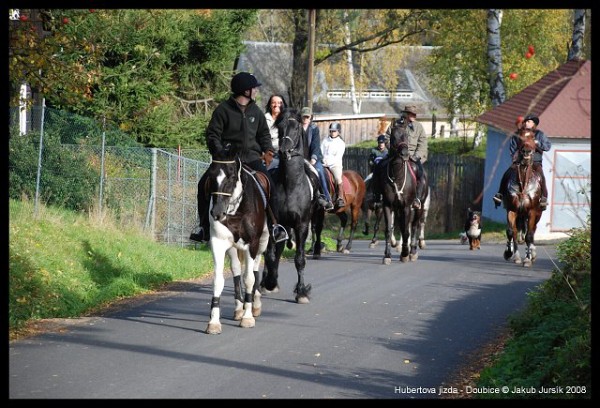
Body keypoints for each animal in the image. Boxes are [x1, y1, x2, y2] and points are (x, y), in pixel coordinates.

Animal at [205, 150, 270, 334]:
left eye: (232, 176)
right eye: (211, 176)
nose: (217, 213)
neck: (236, 210)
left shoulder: (252, 244)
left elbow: (249, 279)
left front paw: (247, 317)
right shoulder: (218, 243)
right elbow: (218, 280)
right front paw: (214, 322)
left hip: (261, 244)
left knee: (255, 269)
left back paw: (254, 305)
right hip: (233, 248)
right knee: (236, 270)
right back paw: (238, 308)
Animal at [258, 108, 324, 302]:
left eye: (295, 128)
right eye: (279, 128)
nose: (283, 151)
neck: (291, 185)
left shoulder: (301, 225)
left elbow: (299, 259)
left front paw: (301, 292)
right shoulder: (274, 224)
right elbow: (271, 255)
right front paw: (269, 282)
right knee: (275, 252)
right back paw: (268, 282)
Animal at [372, 118, 428, 264]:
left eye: (406, 136)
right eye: (393, 137)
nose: (405, 154)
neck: (397, 175)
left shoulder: (406, 206)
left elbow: (405, 230)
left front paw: (405, 254)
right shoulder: (387, 205)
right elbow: (388, 230)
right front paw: (387, 255)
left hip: (419, 207)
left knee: (414, 226)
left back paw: (412, 252)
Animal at [500, 128, 540, 268]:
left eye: (533, 138)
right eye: (520, 138)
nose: (526, 151)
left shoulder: (532, 212)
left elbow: (529, 236)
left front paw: (527, 259)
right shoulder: (512, 210)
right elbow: (512, 232)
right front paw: (511, 254)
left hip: (537, 214)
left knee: (532, 232)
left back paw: (532, 254)